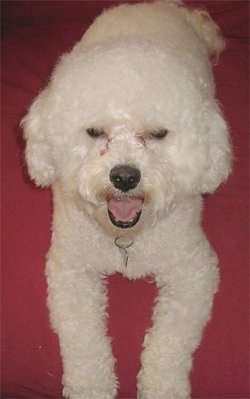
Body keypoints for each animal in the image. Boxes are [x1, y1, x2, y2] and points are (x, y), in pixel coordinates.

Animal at [22, 0, 231, 398]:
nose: (124, 176)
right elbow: (83, 341)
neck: (125, 238)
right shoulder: (69, 271)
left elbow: (170, 342)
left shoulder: (193, 271)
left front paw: (162, 387)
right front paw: (92, 386)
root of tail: (156, 6)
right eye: (94, 131)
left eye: (158, 133)